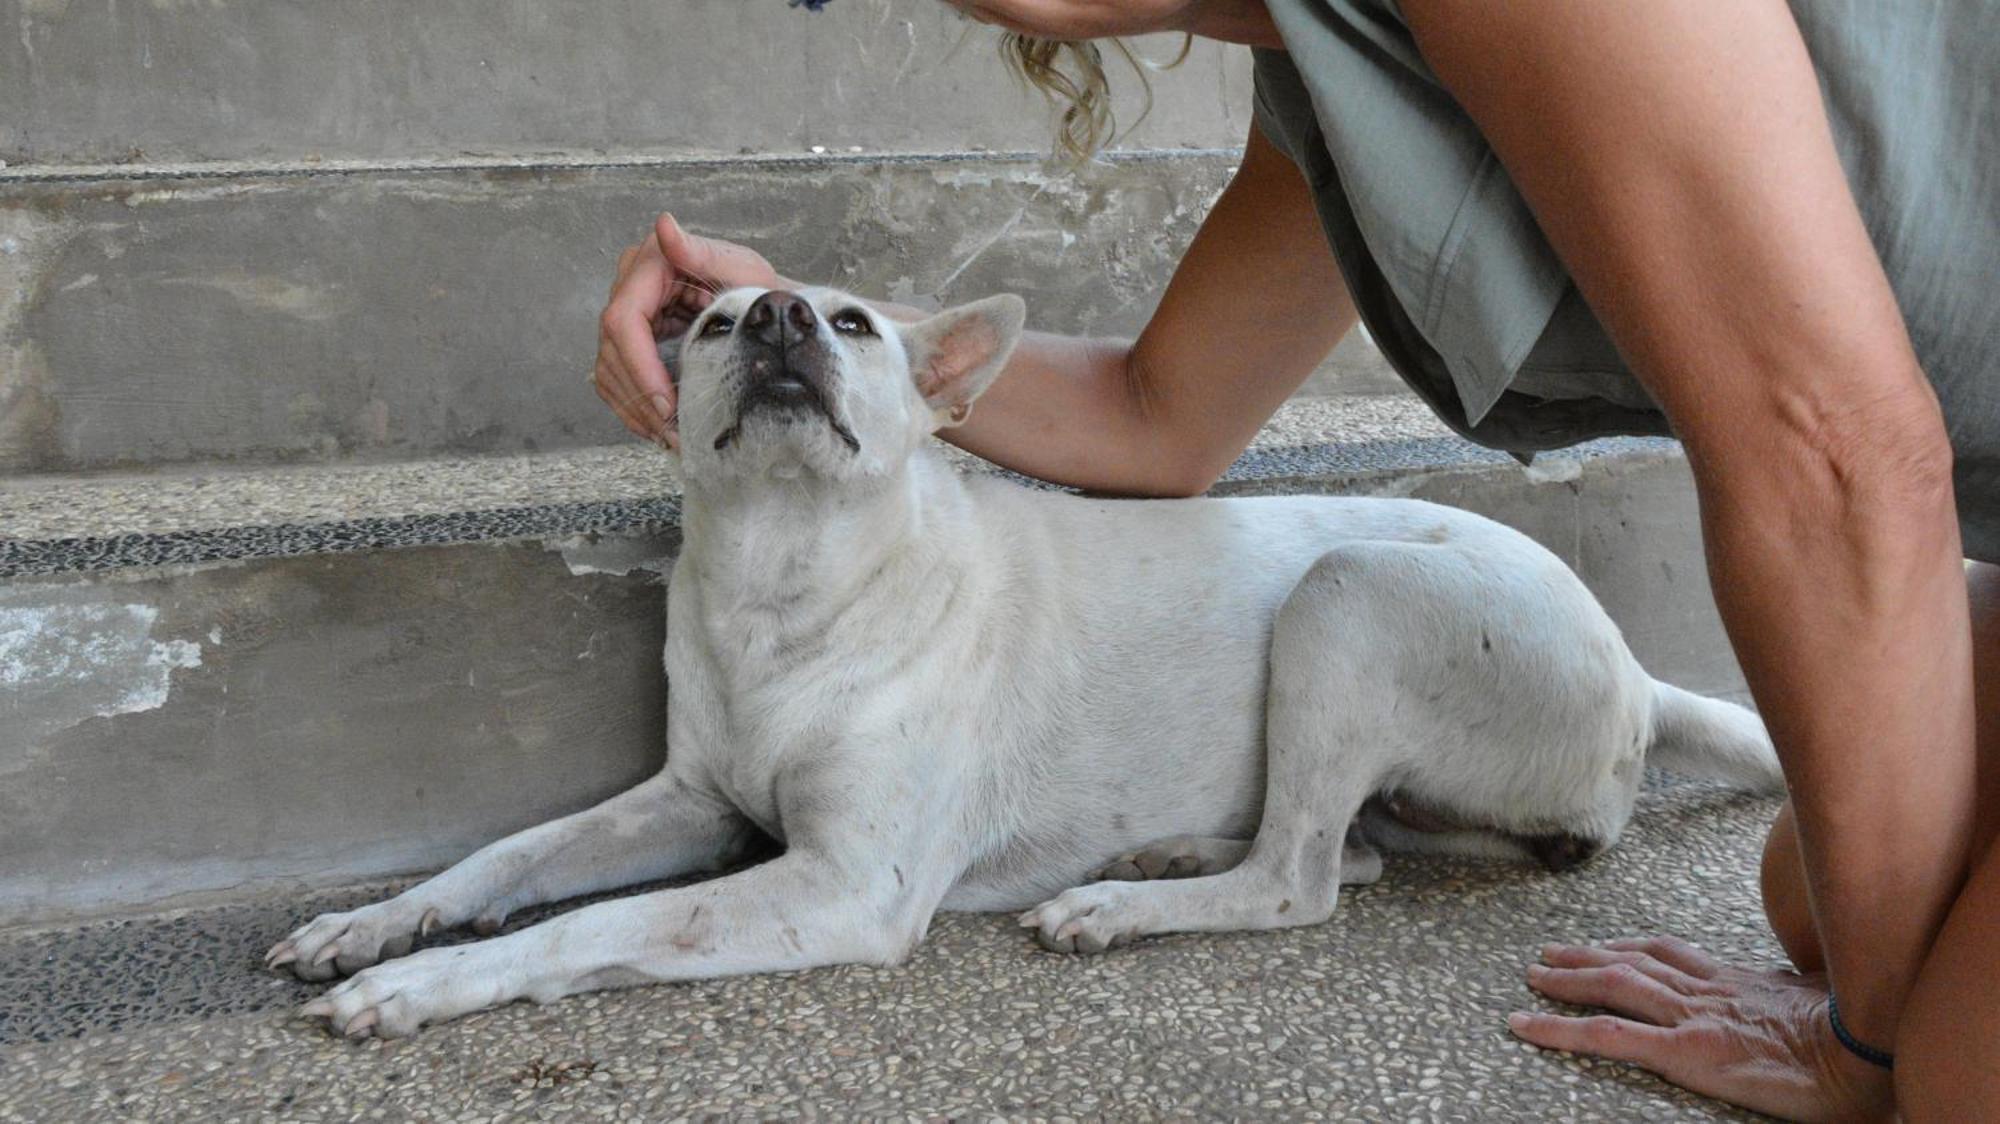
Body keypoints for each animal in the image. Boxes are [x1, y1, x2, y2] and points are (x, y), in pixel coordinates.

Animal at [270, 286, 1784, 1032]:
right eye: (704, 323)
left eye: (854, 320)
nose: (775, 317)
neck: (784, 577)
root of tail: (1636, 671)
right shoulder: (688, 801)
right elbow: (511, 859)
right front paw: (377, 922)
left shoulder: (845, 883)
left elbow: (587, 929)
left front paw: (409, 990)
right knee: (1340, 852)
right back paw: (1168, 852)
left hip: (1347, 596)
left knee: (1299, 881)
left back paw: (1120, 904)